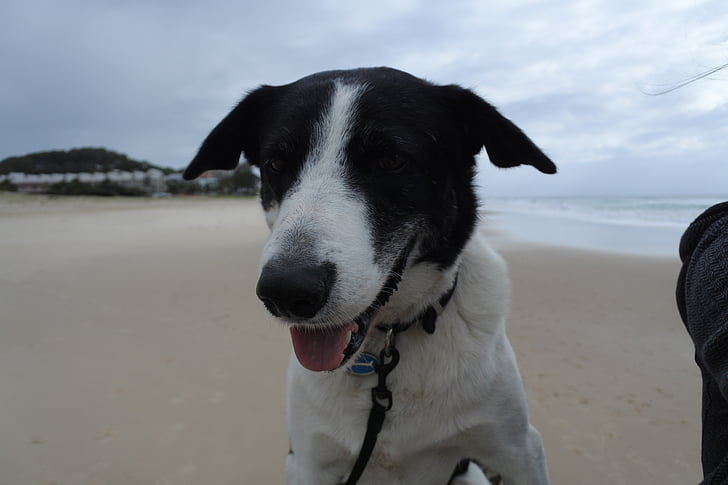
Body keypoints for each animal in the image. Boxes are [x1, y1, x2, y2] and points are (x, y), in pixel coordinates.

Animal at [183, 66, 556, 482]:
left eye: (391, 160)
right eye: (275, 164)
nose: (286, 292)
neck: (386, 347)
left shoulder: (519, 449)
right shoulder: (307, 460)